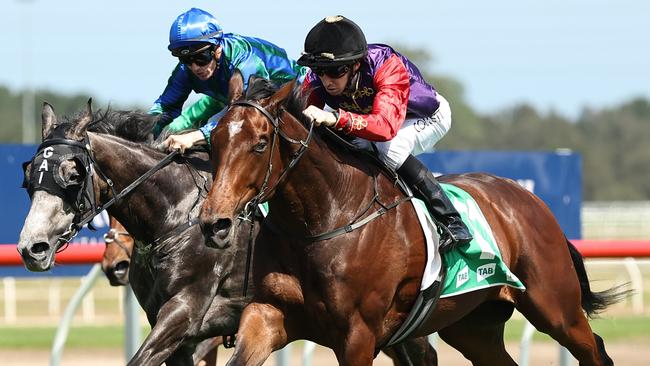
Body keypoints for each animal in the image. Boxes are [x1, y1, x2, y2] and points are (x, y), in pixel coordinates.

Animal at [200, 80, 624, 366]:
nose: (214, 223)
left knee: (595, 350)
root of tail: (533, 201)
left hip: (555, 308)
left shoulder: (357, 334)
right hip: (472, 325)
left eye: (259, 144)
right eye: (214, 141)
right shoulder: (268, 314)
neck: (323, 221)